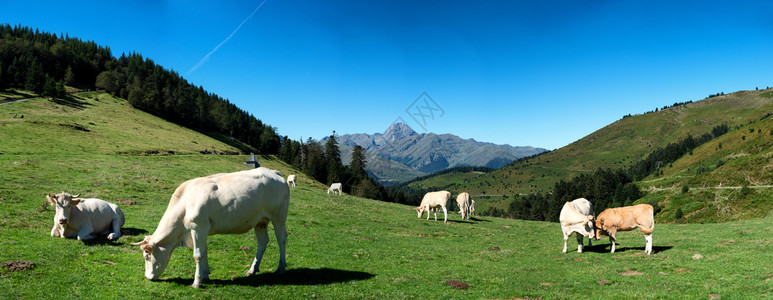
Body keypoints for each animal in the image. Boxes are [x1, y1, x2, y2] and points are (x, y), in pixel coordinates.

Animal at [130, 168, 290, 288]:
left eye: (146, 256)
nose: (148, 277)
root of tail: (274, 172)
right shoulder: (202, 230)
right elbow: (204, 251)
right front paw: (205, 275)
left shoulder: (198, 227)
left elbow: (198, 255)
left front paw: (197, 282)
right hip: (260, 221)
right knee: (262, 242)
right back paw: (252, 270)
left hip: (279, 217)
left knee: (281, 239)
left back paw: (281, 267)